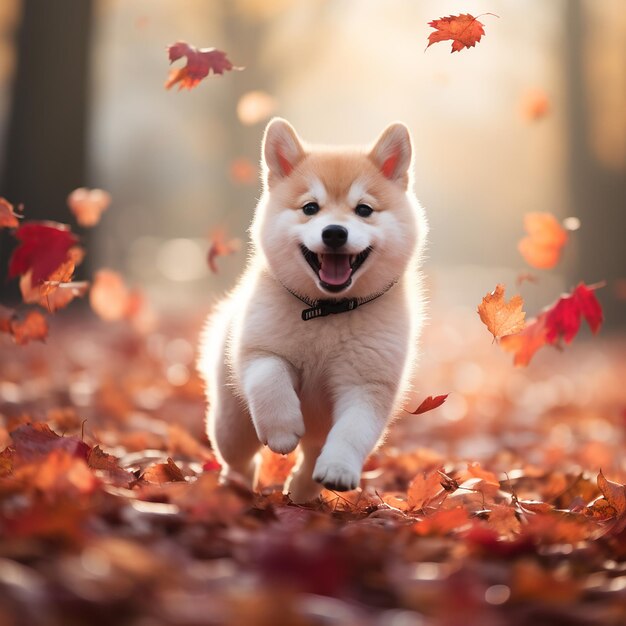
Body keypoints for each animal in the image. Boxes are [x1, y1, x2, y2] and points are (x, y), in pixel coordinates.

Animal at [197, 118, 426, 502]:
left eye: (364, 209)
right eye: (309, 208)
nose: (334, 232)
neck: (328, 313)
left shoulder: (367, 384)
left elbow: (351, 431)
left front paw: (338, 469)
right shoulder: (260, 351)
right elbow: (269, 379)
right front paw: (282, 430)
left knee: (312, 455)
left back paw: (303, 491)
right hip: (232, 424)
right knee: (239, 458)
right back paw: (238, 485)